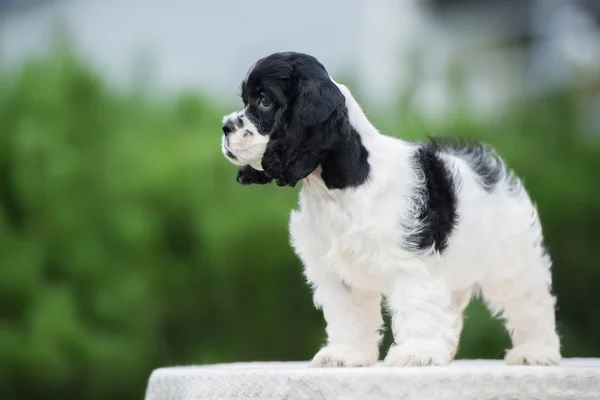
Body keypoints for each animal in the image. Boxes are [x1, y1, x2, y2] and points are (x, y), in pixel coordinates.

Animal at [220, 51, 564, 368]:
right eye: (245, 100)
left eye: (264, 101)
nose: (224, 127)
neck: (343, 186)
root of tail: (489, 164)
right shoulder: (336, 275)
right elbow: (348, 316)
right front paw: (346, 354)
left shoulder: (411, 261)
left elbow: (417, 305)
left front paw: (417, 353)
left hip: (512, 260)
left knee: (530, 302)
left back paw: (535, 351)